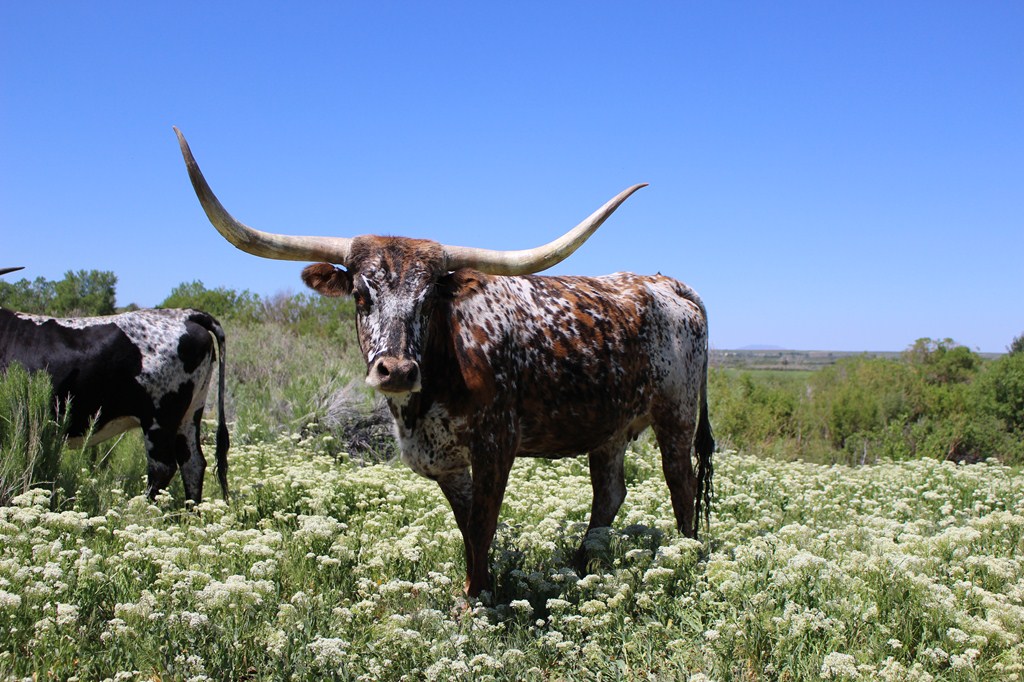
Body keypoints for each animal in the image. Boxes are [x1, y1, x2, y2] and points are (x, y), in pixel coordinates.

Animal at [174, 128, 713, 597]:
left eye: (430, 298)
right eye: (360, 295)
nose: (396, 370)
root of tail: (664, 282)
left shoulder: (496, 445)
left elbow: (483, 524)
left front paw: (475, 602)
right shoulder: (444, 461)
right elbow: (468, 527)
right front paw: (480, 587)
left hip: (676, 415)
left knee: (682, 487)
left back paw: (688, 560)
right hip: (609, 428)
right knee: (609, 495)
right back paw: (579, 566)